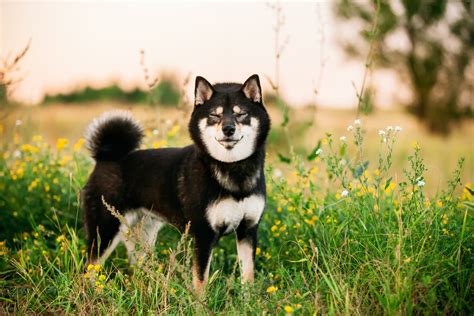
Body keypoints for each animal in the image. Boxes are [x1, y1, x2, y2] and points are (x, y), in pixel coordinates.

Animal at [82, 74, 270, 292]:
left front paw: (248, 298)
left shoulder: (248, 230)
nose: (228, 129)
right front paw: (200, 302)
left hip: (142, 236)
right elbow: (201, 282)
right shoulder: (203, 235)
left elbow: (248, 277)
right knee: (87, 270)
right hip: (105, 231)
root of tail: (105, 157)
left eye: (241, 114)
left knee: (137, 269)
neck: (233, 168)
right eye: (214, 116)